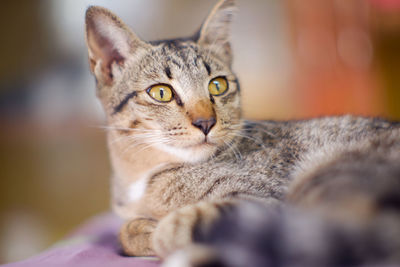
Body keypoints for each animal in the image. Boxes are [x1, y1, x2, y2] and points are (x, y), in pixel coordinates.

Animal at [85, 1, 400, 266]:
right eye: (161, 92)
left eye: (218, 85)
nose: (206, 122)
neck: (144, 176)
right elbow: (126, 231)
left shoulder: (264, 203)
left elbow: (185, 223)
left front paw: (163, 231)